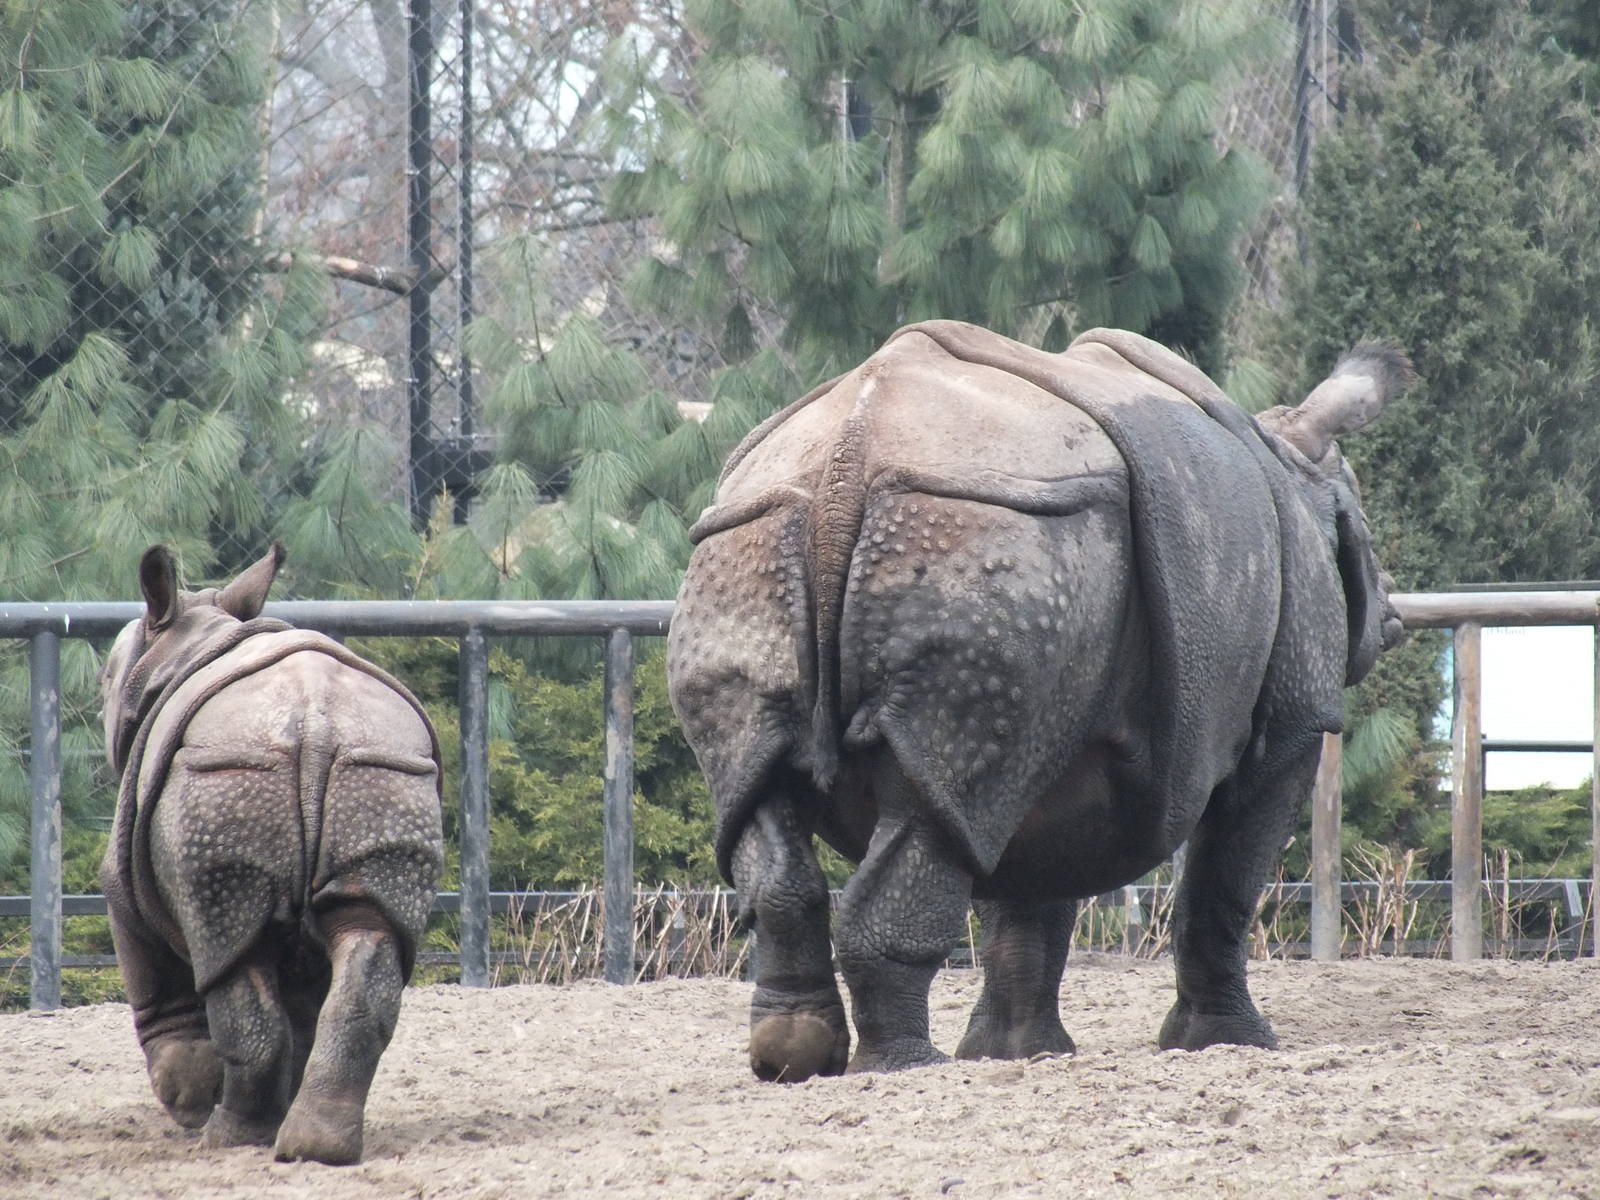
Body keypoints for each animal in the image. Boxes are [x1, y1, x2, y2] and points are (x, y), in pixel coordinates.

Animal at [98, 544, 444, 1164]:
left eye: (106, 680)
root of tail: (317, 720)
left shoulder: (121, 880)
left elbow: (157, 984)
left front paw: (186, 1102)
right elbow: (304, 1011)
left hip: (227, 774)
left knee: (232, 952)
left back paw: (229, 1138)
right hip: (384, 769)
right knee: (369, 936)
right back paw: (314, 1146)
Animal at [666, 320, 1409, 1081]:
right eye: (1364, 539)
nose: (1392, 619)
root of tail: (849, 454)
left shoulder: (1060, 720)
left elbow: (1030, 885)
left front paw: (1017, 1053)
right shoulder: (1293, 716)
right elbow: (1224, 880)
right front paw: (1231, 1041)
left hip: (759, 542)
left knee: (781, 789)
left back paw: (796, 1056)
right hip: (988, 531)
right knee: (936, 802)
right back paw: (906, 1066)